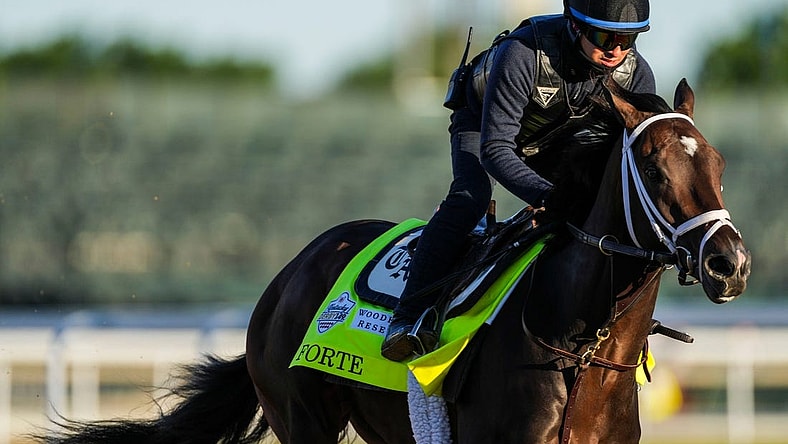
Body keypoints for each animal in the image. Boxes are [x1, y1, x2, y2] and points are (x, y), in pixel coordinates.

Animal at [35, 78, 750, 444]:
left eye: (718, 165)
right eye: (653, 169)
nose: (729, 263)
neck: (577, 349)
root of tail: (287, 277)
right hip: (304, 420)